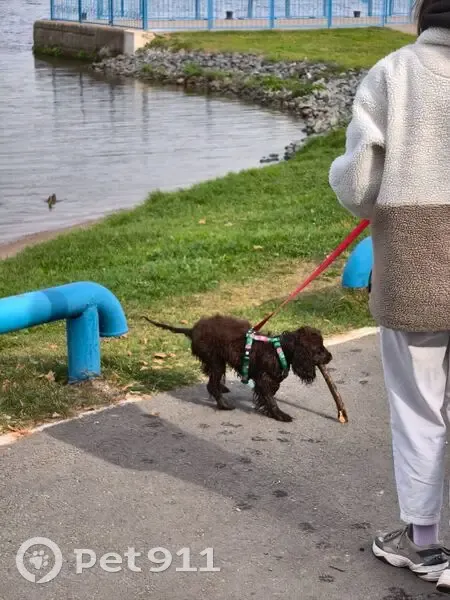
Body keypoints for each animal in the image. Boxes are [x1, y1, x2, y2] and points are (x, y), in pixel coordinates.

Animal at [143, 314, 332, 422]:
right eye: (319, 350)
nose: (330, 357)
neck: (279, 349)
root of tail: (192, 330)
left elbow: (270, 394)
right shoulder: (263, 379)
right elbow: (271, 398)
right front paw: (279, 414)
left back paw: (222, 388)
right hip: (216, 361)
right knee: (211, 384)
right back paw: (223, 404)